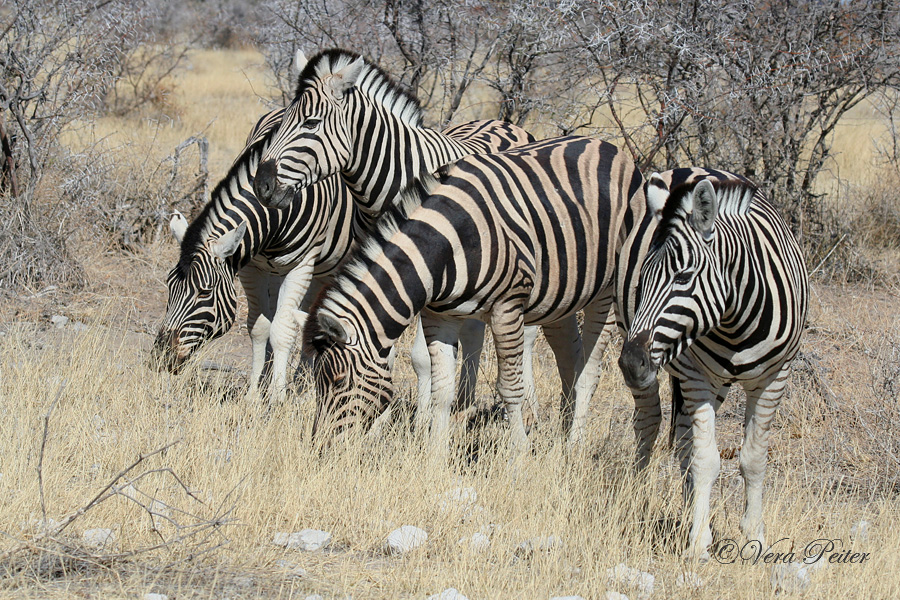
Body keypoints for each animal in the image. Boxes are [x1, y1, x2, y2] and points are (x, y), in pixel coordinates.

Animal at [151, 108, 356, 398]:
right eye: (169, 286)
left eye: (204, 292)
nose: (161, 357)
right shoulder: (251, 266)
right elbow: (260, 327)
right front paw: (254, 394)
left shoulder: (301, 265)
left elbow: (282, 329)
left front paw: (278, 396)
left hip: (328, 265)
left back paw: (304, 387)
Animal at [255, 49, 548, 428]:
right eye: (283, 120)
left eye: (311, 123)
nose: (262, 185)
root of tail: (507, 123)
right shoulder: (383, 269)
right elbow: (383, 351)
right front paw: (380, 422)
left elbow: (421, 357)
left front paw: (422, 421)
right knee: (474, 332)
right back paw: (465, 404)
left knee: (527, 334)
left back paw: (529, 407)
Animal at [302, 137, 648, 454]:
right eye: (319, 384)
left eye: (338, 382)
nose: (318, 448)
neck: (446, 246)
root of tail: (610, 147)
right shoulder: (438, 315)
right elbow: (442, 390)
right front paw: (435, 460)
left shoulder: (508, 307)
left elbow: (510, 388)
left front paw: (519, 459)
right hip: (560, 298)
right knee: (569, 359)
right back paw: (561, 438)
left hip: (607, 293)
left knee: (590, 369)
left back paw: (574, 447)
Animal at [620, 170, 808, 564]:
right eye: (642, 279)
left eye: (683, 277)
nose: (631, 362)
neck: (736, 319)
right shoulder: (695, 375)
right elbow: (705, 460)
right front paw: (697, 543)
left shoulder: (775, 378)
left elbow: (753, 459)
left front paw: (753, 537)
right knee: (651, 424)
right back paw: (638, 500)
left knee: (684, 441)